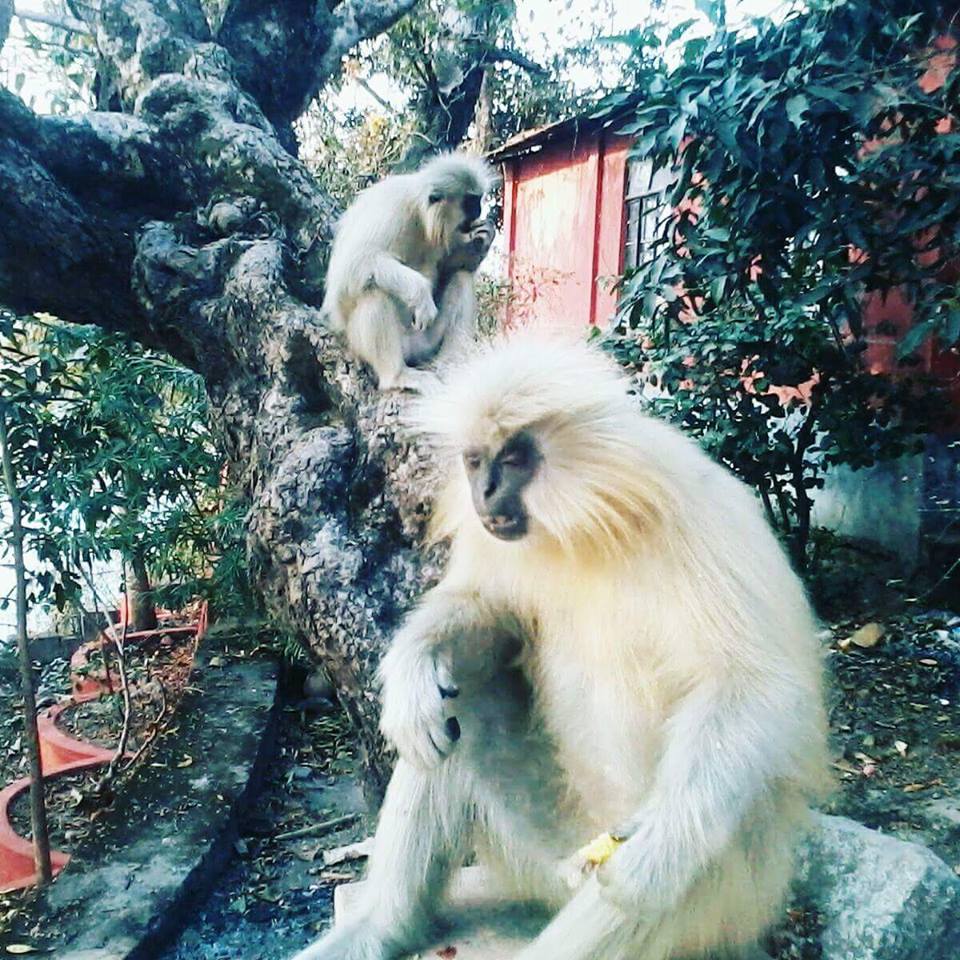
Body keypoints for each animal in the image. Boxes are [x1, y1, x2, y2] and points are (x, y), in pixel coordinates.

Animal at [292, 336, 824, 960]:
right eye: (475, 460)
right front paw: (410, 666)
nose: (483, 493)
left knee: (693, 853)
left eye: (514, 460)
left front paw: (652, 855)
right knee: (453, 709)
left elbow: (758, 689)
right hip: (541, 859)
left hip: (729, 902)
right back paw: (378, 925)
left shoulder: (701, 514)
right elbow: (491, 614)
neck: (588, 526)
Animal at [324, 153, 498, 390]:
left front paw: (484, 239)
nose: (480, 210)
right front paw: (420, 294)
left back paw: (450, 365)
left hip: (425, 342)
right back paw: (396, 375)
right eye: (471, 202)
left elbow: (455, 265)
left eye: (478, 200)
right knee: (375, 291)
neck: (419, 216)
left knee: (462, 277)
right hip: (366, 342)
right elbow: (350, 268)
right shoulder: (392, 209)